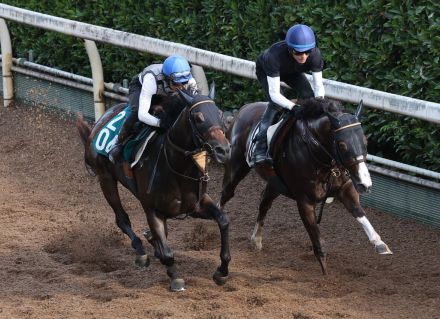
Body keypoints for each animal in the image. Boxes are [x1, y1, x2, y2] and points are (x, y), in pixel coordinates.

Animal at [77, 86, 232, 292]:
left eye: (220, 114)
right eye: (198, 117)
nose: (224, 150)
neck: (176, 167)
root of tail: (99, 122)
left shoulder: (196, 205)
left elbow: (223, 220)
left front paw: (222, 271)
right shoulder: (152, 209)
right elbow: (167, 252)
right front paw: (175, 278)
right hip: (106, 178)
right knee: (121, 218)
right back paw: (141, 251)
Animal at [220, 99, 392, 276]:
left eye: (365, 141)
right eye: (342, 145)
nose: (365, 184)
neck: (317, 154)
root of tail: (244, 108)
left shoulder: (345, 188)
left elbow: (358, 211)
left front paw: (379, 243)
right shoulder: (304, 200)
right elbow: (315, 234)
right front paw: (324, 273)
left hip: (275, 184)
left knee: (264, 202)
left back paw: (256, 239)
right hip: (236, 168)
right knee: (226, 193)